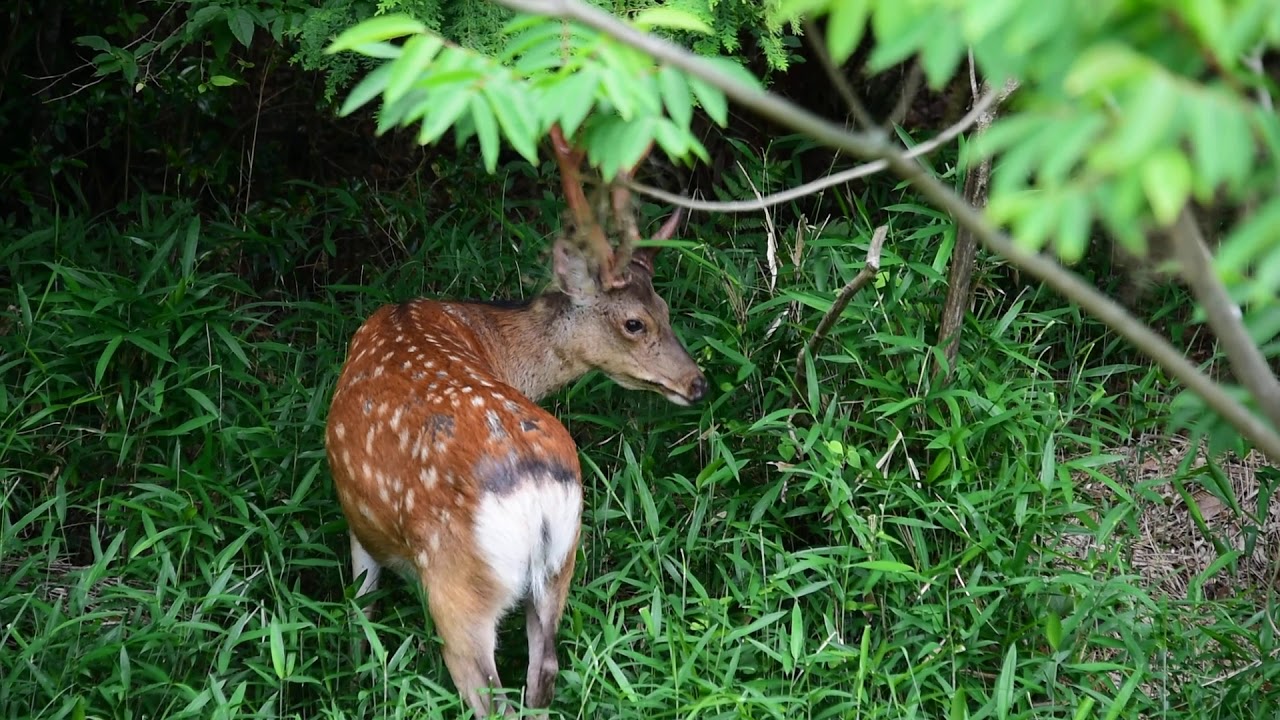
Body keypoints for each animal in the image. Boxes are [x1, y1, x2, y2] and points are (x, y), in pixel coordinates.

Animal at [324, 125, 708, 718]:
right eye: (639, 321)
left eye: (661, 313)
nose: (697, 382)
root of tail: (533, 493)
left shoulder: (358, 522)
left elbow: (360, 608)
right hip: (559, 566)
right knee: (543, 673)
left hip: (456, 588)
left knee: (491, 694)